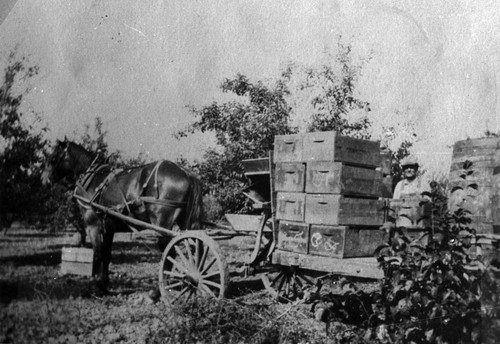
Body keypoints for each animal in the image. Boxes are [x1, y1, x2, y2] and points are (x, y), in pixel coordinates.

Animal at [41, 138, 203, 288]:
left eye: (53, 158)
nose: (44, 180)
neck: (94, 179)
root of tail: (186, 173)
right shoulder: (108, 228)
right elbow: (106, 255)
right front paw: (104, 282)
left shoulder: (93, 226)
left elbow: (98, 255)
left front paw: (98, 285)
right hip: (184, 223)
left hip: (162, 226)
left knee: (170, 254)